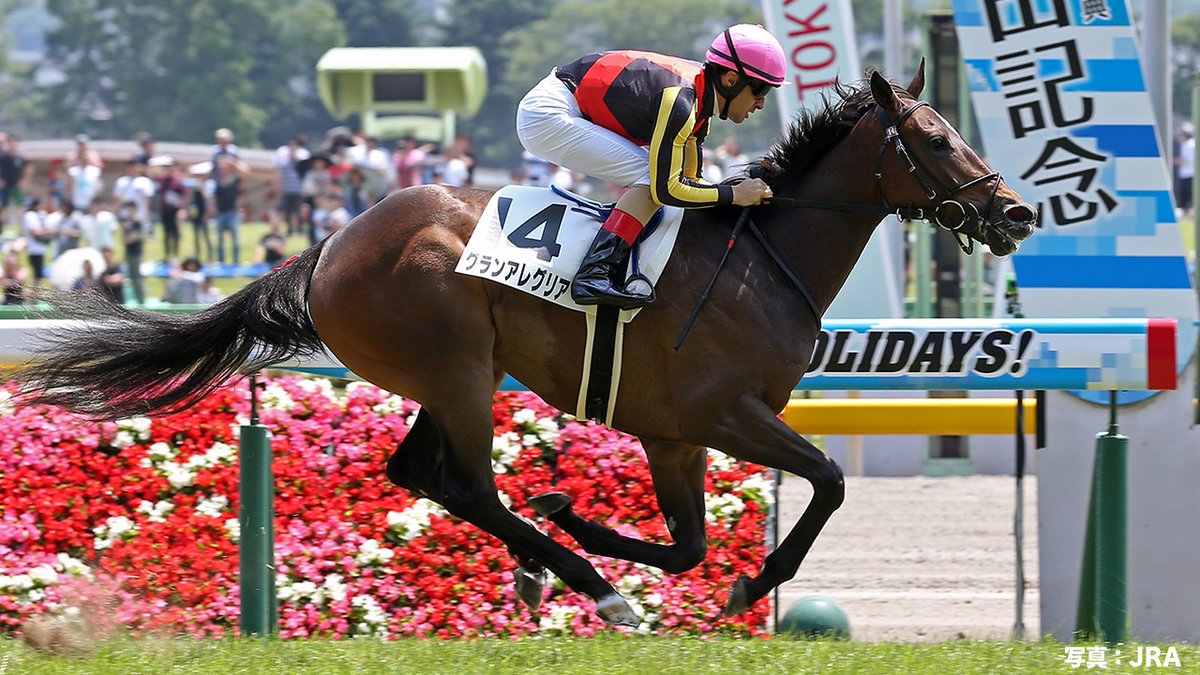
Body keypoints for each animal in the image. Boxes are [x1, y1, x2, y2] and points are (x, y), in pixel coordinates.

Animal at [18, 64, 1035, 627]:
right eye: (936, 137)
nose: (1018, 213)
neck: (765, 256)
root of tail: (330, 245)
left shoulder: (674, 433)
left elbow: (690, 545)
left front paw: (579, 516)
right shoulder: (721, 413)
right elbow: (825, 479)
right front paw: (750, 586)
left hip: (447, 376)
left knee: (420, 473)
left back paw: (549, 563)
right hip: (459, 366)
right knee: (466, 484)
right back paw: (587, 583)